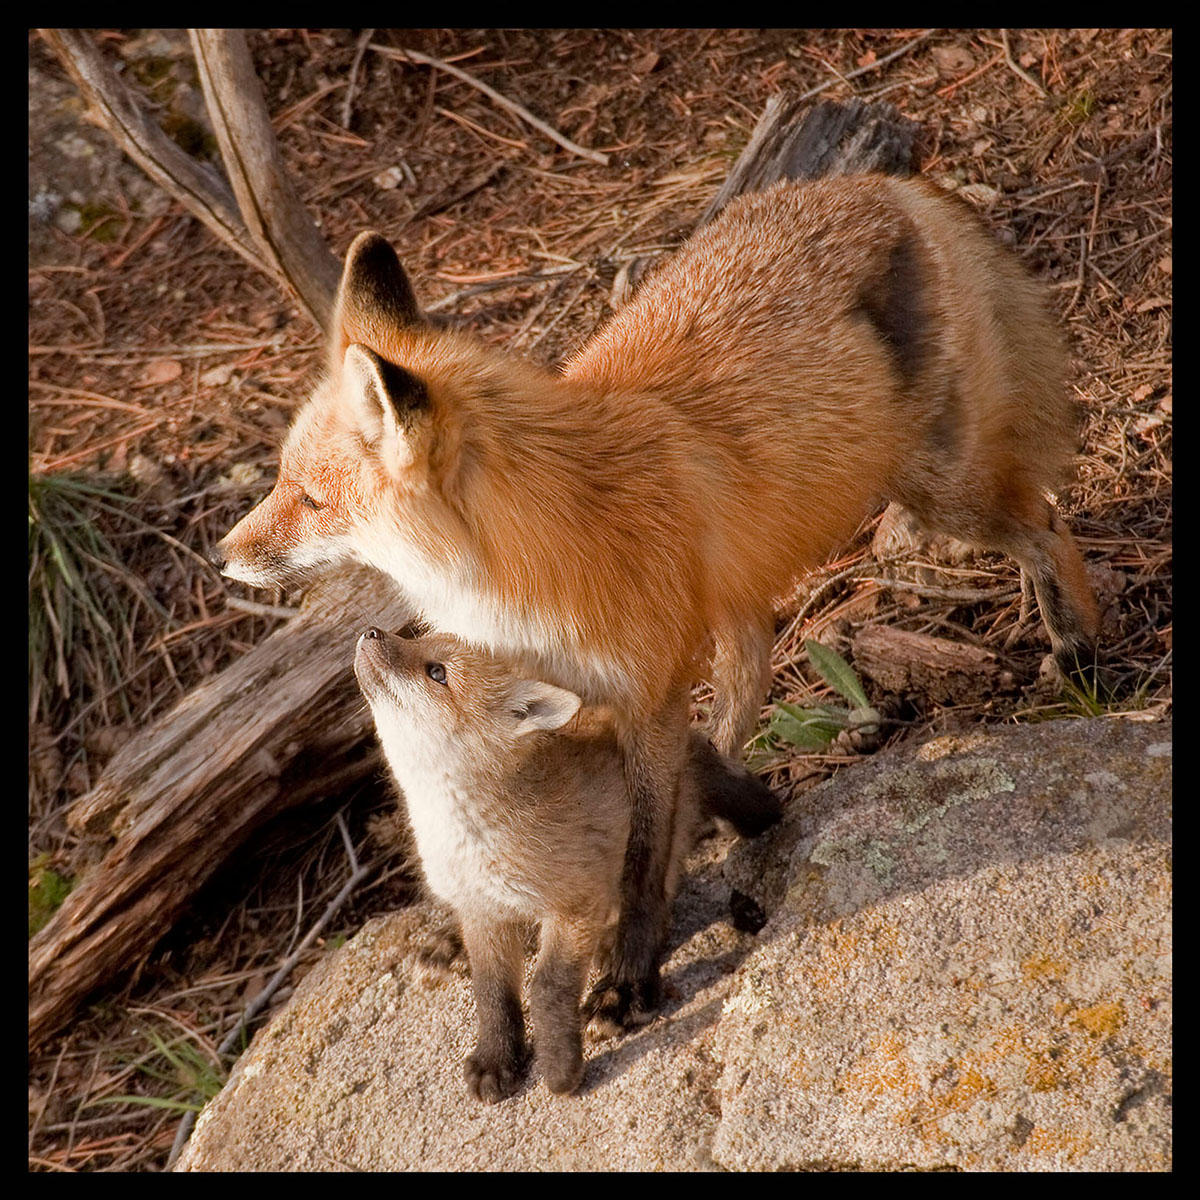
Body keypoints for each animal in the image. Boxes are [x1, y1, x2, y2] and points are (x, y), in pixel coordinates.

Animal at [216, 171, 1099, 1032]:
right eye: (282, 483)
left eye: (309, 499)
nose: (223, 559)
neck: (527, 566)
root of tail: (887, 183)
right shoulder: (566, 701)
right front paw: (469, 933)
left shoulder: (644, 700)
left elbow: (639, 853)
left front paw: (628, 976)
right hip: (752, 585)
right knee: (749, 680)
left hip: (942, 490)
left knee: (1047, 525)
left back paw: (1080, 656)